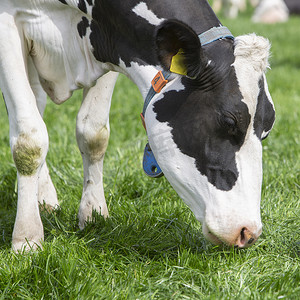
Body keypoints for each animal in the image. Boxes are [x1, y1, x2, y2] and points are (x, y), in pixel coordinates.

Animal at [0, 0, 274, 253]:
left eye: (267, 129)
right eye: (229, 121)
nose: (248, 232)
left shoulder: (108, 43)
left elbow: (93, 133)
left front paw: (93, 213)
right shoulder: (8, 24)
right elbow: (29, 142)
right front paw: (27, 239)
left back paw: (44, 197)